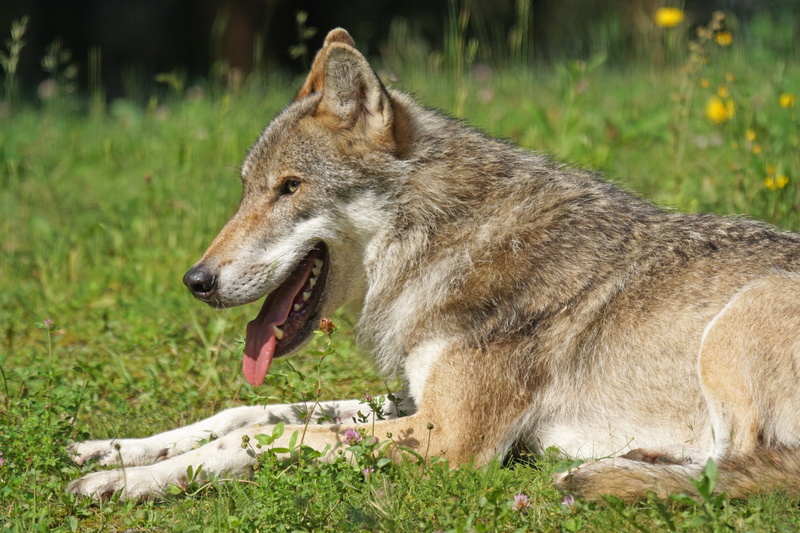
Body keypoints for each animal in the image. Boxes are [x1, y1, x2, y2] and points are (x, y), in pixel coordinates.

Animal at [68, 28, 800, 501]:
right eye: (247, 188)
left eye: (290, 188)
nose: (195, 281)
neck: (444, 240)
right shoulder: (415, 396)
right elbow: (248, 414)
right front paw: (112, 452)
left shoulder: (447, 437)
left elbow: (271, 436)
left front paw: (126, 482)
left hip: (734, 323)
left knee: (750, 470)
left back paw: (595, 476)